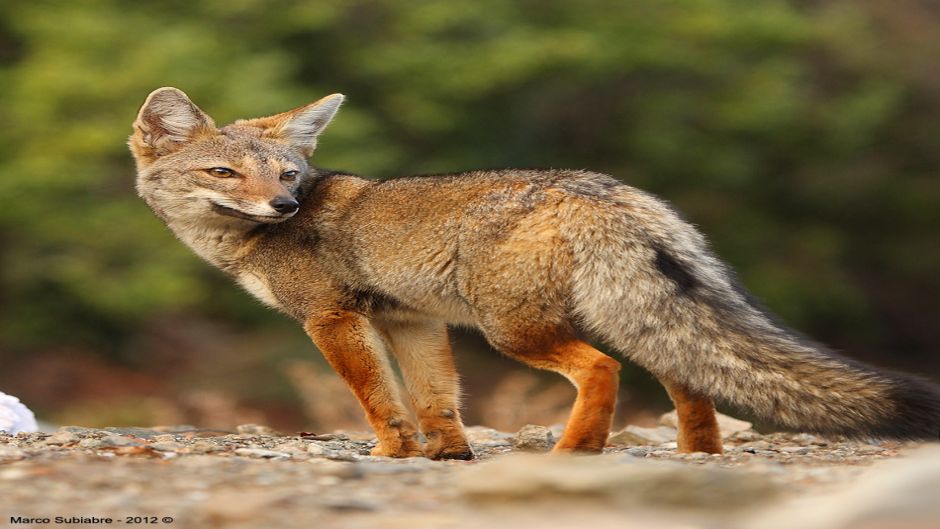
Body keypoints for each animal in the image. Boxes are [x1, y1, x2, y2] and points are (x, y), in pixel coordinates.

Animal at [129, 87, 940, 459]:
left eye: (288, 172)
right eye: (225, 172)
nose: (285, 203)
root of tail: (604, 188)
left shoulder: (332, 318)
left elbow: (379, 400)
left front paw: (391, 453)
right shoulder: (411, 319)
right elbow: (436, 399)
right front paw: (447, 455)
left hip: (516, 331)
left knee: (604, 371)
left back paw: (577, 451)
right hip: (624, 316)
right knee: (688, 378)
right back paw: (698, 455)